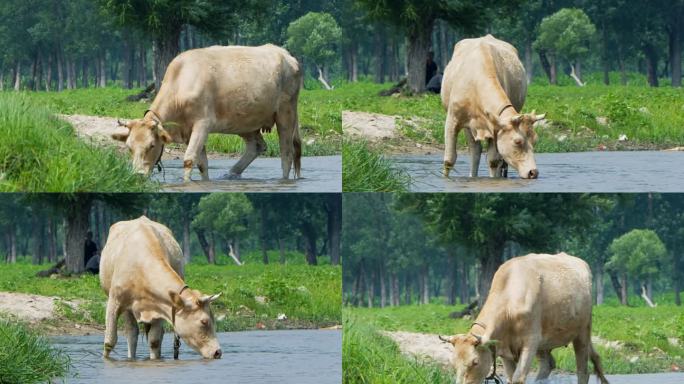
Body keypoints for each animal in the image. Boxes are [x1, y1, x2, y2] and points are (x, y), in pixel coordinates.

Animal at [100, 216, 222, 360]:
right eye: (204, 321)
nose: (218, 352)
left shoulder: (161, 306)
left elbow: (154, 341)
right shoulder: (114, 301)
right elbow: (109, 341)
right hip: (126, 307)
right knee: (131, 333)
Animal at [113, 44, 302, 182]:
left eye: (152, 145)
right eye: (128, 147)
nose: (138, 175)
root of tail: (285, 53)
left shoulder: (202, 124)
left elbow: (189, 159)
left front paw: (187, 184)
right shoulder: (188, 130)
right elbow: (202, 164)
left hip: (286, 113)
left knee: (287, 153)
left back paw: (283, 180)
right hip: (245, 122)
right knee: (257, 146)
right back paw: (231, 174)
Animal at [444, 35, 544, 179]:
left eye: (535, 140)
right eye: (517, 141)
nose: (533, 172)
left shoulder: (495, 127)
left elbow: (493, 161)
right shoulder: (452, 119)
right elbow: (449, 160)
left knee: (495, 160)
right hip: (468, 126)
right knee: (475, 151)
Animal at [444, 252, 608, 384]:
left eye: (475, 362)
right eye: (453, 363)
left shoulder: (531, 340)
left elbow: (518, 378)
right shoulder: (504, 347)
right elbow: (511, 378)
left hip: (583, 331)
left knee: (583, 371)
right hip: (545, 342)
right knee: (548, 364)